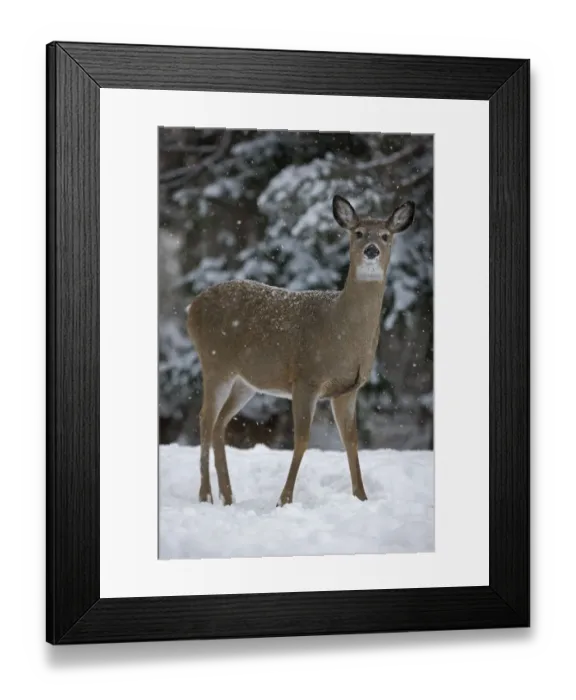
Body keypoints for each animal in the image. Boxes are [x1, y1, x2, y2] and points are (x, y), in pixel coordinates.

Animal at [185, 194, 416, 507]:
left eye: (385, 235)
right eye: (357, 233)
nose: (371, 250)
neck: (342, 330)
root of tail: (192, 307)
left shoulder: (348, 389)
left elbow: (351, 441)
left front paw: (361, 497)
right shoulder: (306, 378)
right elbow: (302, 440)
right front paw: (284, 500)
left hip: (246, 381)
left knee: (221, 422)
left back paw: (228, 495)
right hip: (215, 363)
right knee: (205, 419)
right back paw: (206, 495)